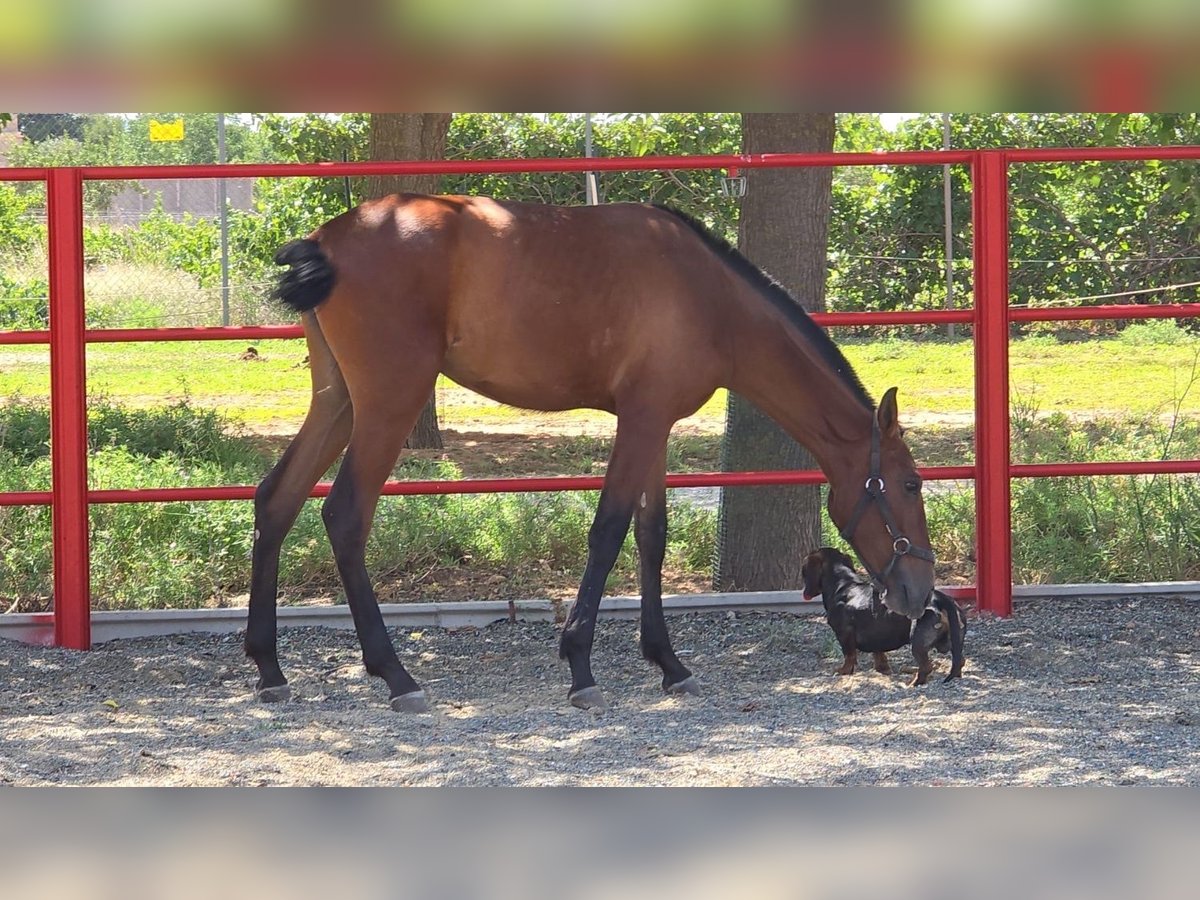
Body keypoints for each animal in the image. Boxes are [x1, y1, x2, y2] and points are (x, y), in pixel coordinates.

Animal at [248, 195, 931, 710]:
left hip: (337, 402)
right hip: (388, 404)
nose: (919, 593)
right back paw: (395, 675)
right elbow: (608, 531)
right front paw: (580, 666)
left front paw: (668, 662)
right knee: (344, 515)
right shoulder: (641, 422)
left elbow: (652, 535)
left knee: (276, 500)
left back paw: (269, 668)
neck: (707, 295)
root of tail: (327, 240)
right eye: (910, 485)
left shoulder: (655, 424)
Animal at [806, 547, 964, 686]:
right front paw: (883, 670)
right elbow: (879, 656)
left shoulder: (844, 634)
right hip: (953, 640)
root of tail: (940, 598)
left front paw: (843, 671)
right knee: (959, 661)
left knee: (926, 667)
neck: (844, 585)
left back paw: (913, 683)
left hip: (917, 642)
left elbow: (849, 655)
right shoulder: (876, 638)